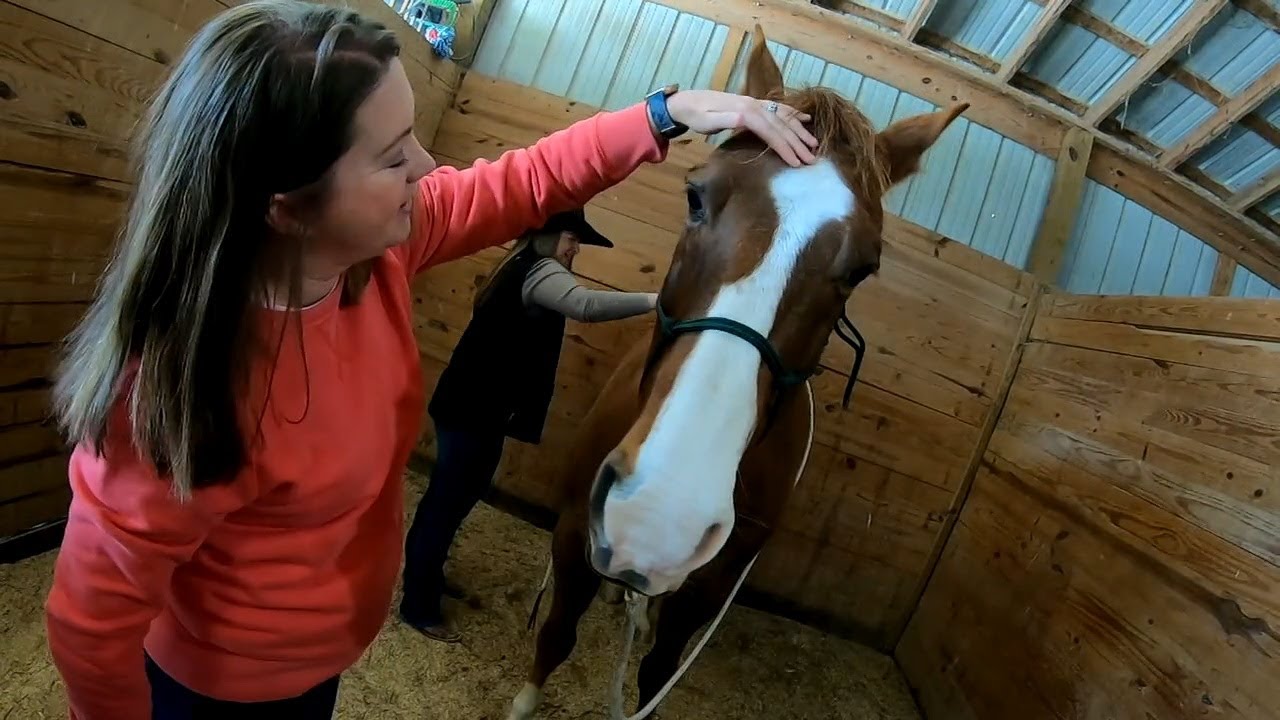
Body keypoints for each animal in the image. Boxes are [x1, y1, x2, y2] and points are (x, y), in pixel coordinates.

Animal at [504, 25, 962, 712]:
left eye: (861, 270)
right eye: (695, 197)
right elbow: (556, 634)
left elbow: (655, 678)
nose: (661, 513)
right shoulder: (571, 528)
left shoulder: (707, 591)